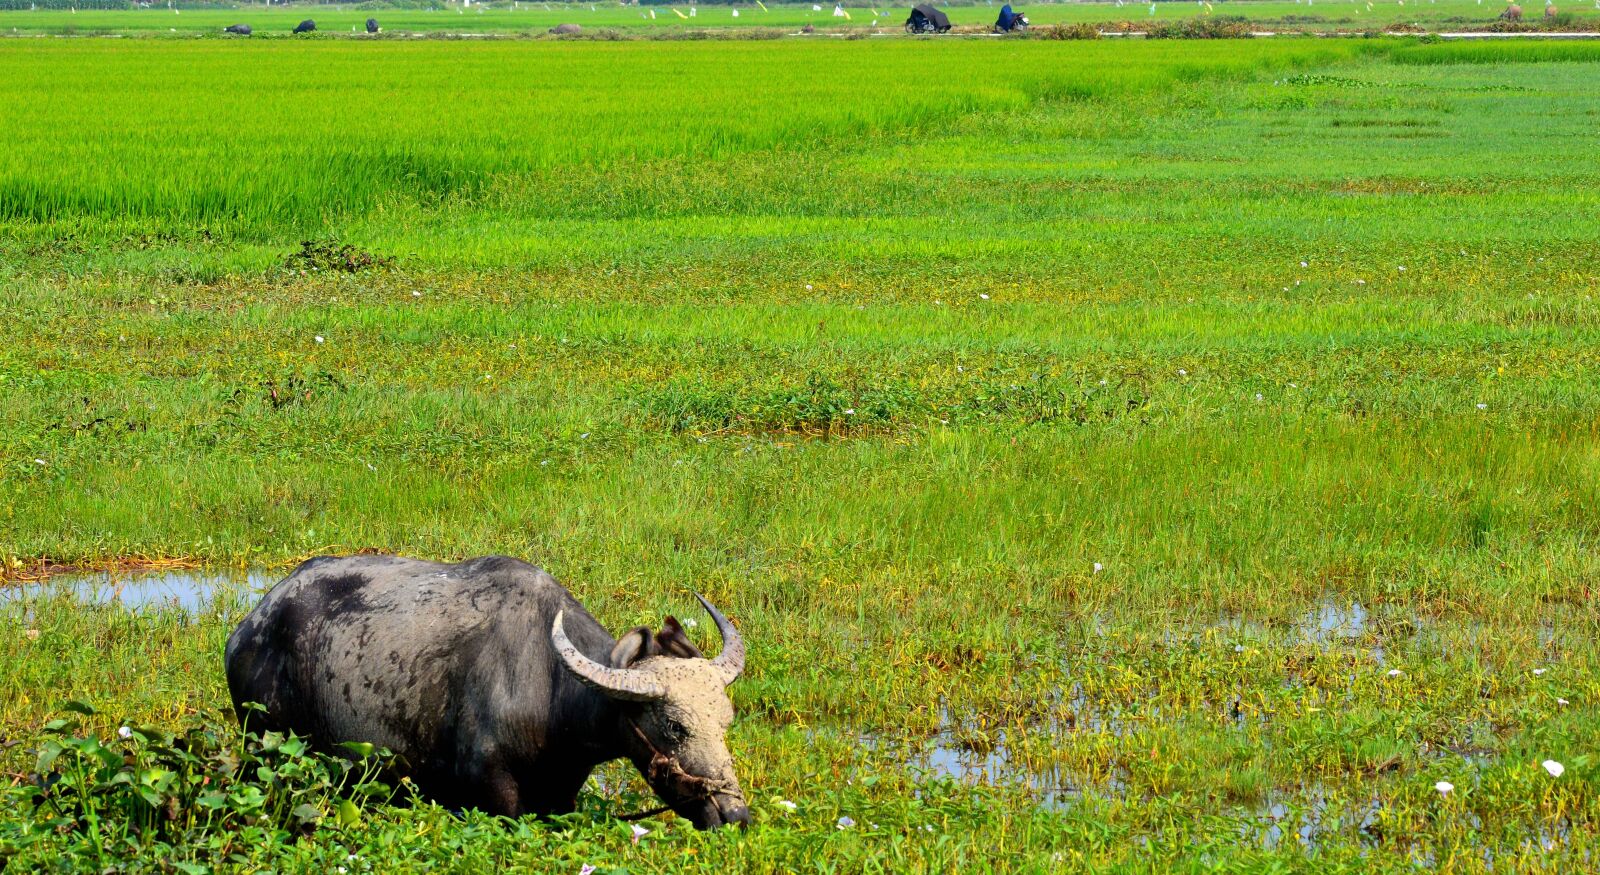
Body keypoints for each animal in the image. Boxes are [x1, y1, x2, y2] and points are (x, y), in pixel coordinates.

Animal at [225, 555, 752, 829]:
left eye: (725, 721)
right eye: (675, 726)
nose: (736, 814)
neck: (552, 692)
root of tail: (248, 628)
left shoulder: (560, 794)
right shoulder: (490, 788)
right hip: (265, 749)